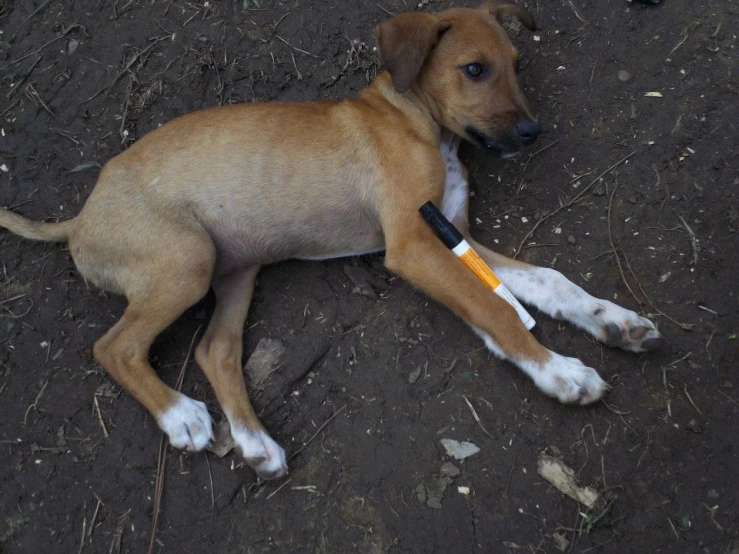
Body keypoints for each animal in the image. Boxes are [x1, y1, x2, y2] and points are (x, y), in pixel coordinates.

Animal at [0, 1, 660, 478]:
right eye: (474, 69)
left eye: (518, 64)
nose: (532, 131)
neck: (417, 121)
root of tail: (82, 216)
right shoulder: (415, 246)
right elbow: (495, 310)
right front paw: (561, 373)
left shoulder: (454, 237)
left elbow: (544, 282)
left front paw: (612, 320)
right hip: (186, 260)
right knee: (114, 347)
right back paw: (181, 417)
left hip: (234, 268)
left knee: (215, 349)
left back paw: (256, 443)